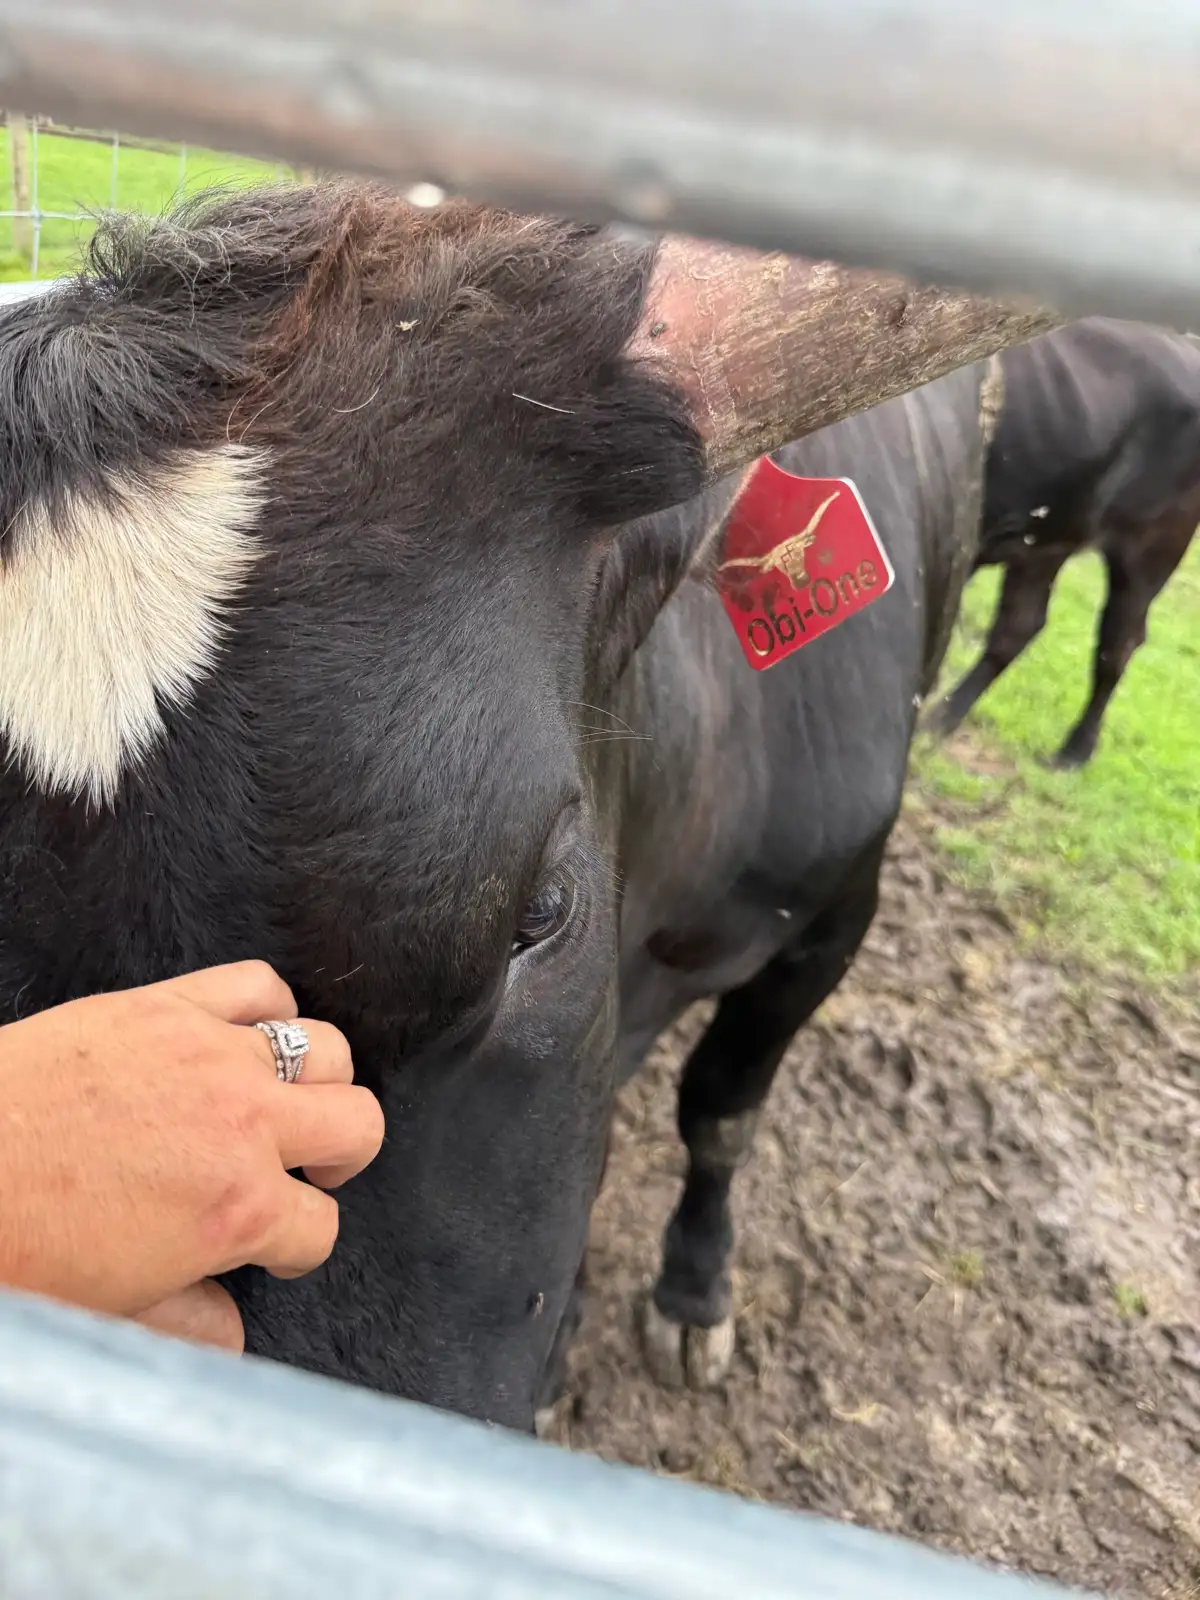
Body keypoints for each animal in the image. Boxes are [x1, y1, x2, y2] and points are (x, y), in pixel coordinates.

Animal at [928, 318, 1200, 766]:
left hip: (1151, 550)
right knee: (1021, 624)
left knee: (1118, 643)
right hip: (1049, 541)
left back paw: (1074, 752)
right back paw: (940, 720)